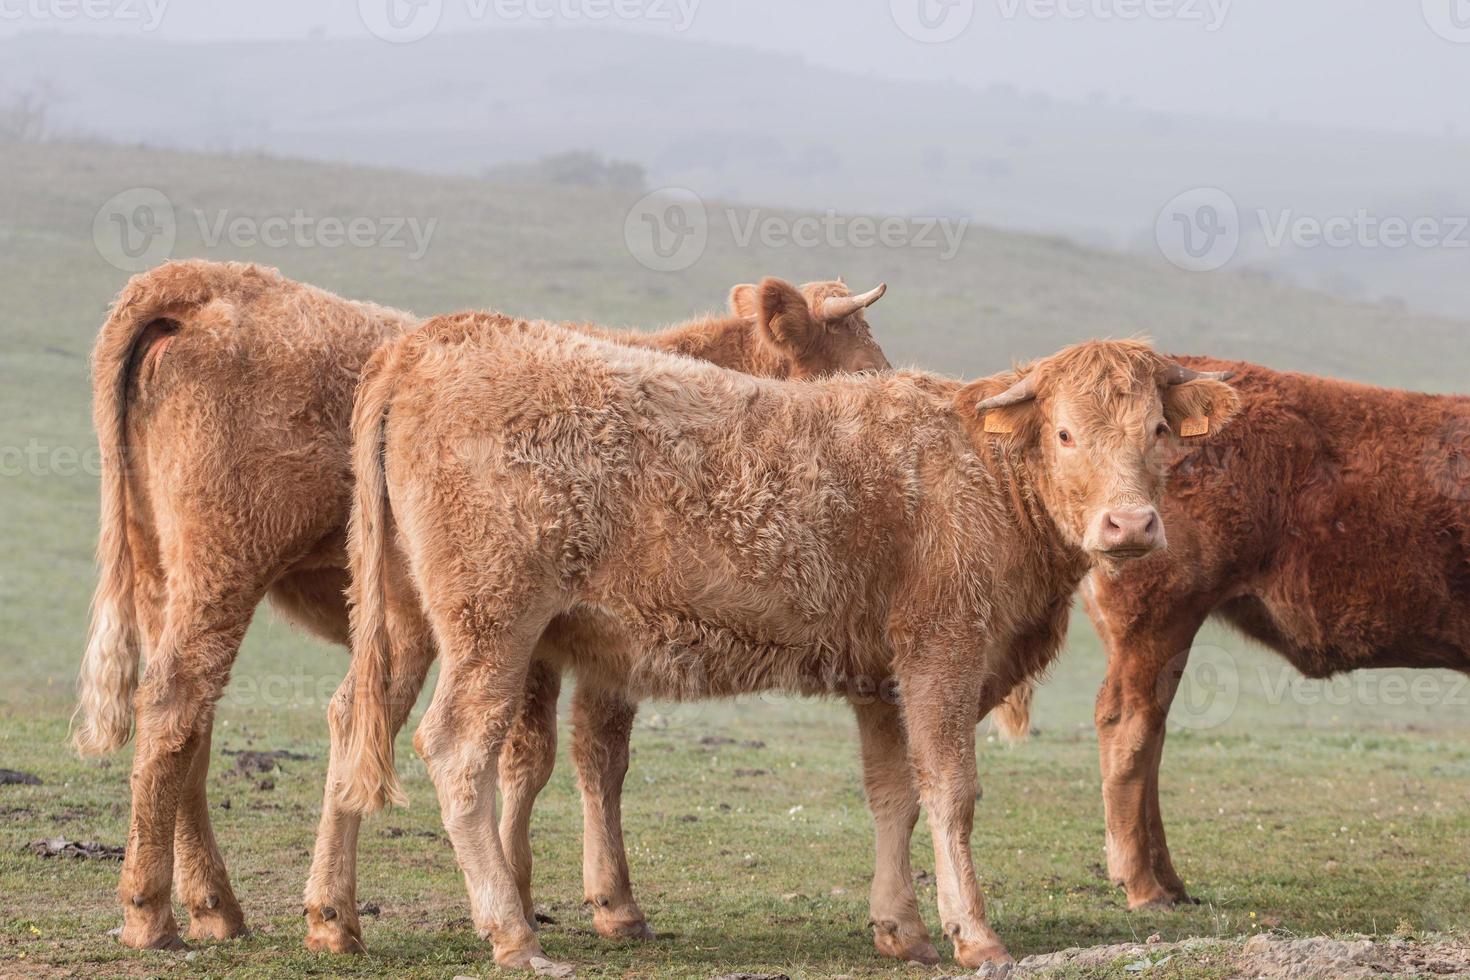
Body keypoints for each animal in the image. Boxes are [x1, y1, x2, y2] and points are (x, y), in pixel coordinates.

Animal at [74, 258, 882, 952]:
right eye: (862, 369)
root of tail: (195, 284)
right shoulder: (598, 639)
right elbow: (583, 755)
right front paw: (593, 903)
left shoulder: (555, 644)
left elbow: (539, 755)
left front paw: (524, 891)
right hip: (226, 567)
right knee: (178, 703)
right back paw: (152, 912)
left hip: (180, 578)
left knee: (197, 727)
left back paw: (225, 906)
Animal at [336, 308, 1240, 975]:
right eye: (1064, 434)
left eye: (1159, 430)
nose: (1130, 524)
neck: (983, 472)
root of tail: (435, 339)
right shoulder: (942, 653)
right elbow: (951, 791)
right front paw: (974, 935)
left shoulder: (882, 682)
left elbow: (894, 795)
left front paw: (901, 926)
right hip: (492, 621)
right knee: (456, 749)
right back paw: (513, 935)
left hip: (406, 620)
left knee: (355, 723)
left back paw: (334, 917)